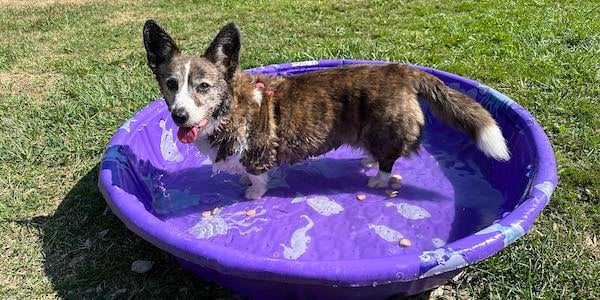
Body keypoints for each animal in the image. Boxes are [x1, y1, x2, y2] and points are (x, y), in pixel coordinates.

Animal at [142, 20, 510, 199]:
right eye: (171, 84)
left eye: (203, 86)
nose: (179, 116)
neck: (229, 108)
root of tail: (401, 70)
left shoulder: (258, 155)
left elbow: (257, 179)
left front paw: (252, 194)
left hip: (385, 129)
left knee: (389, 160)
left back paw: (377, 180)